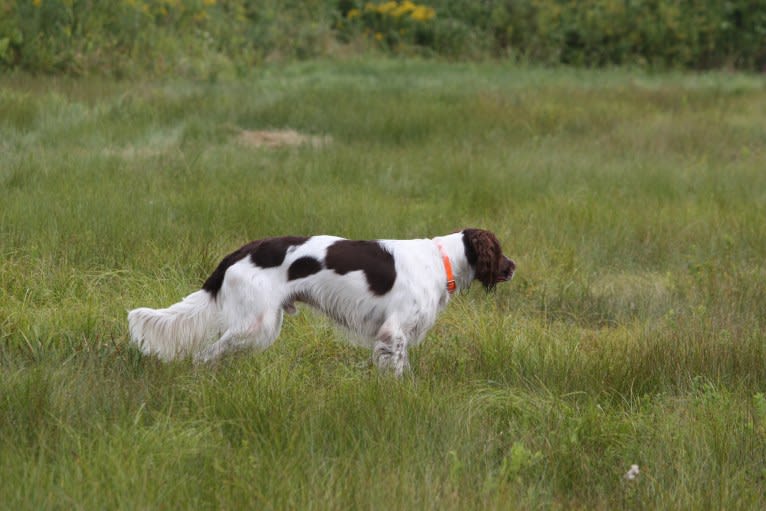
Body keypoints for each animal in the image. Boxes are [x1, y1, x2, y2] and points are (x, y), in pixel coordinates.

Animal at [129, 228, 516, 376]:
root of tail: (241, 250)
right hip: (256, 325)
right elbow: (397, 371)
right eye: (499, 251)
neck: (441, 259)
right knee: (205, 355)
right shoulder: (393, 333)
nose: (513, 267)